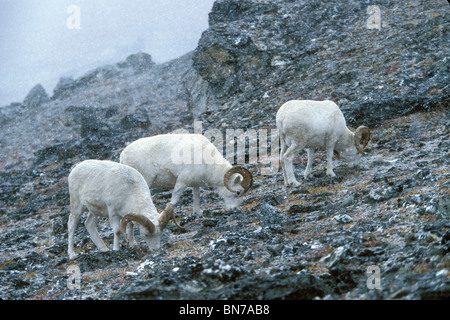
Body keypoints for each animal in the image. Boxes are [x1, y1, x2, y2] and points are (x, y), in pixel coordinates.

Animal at [119, 132, 253, 215]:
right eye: (238, 192)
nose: (234, 209)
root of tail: (123, 155)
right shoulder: (182, 181)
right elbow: (174, 200)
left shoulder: (195, 183)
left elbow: (197, 197)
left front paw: (198, 213)